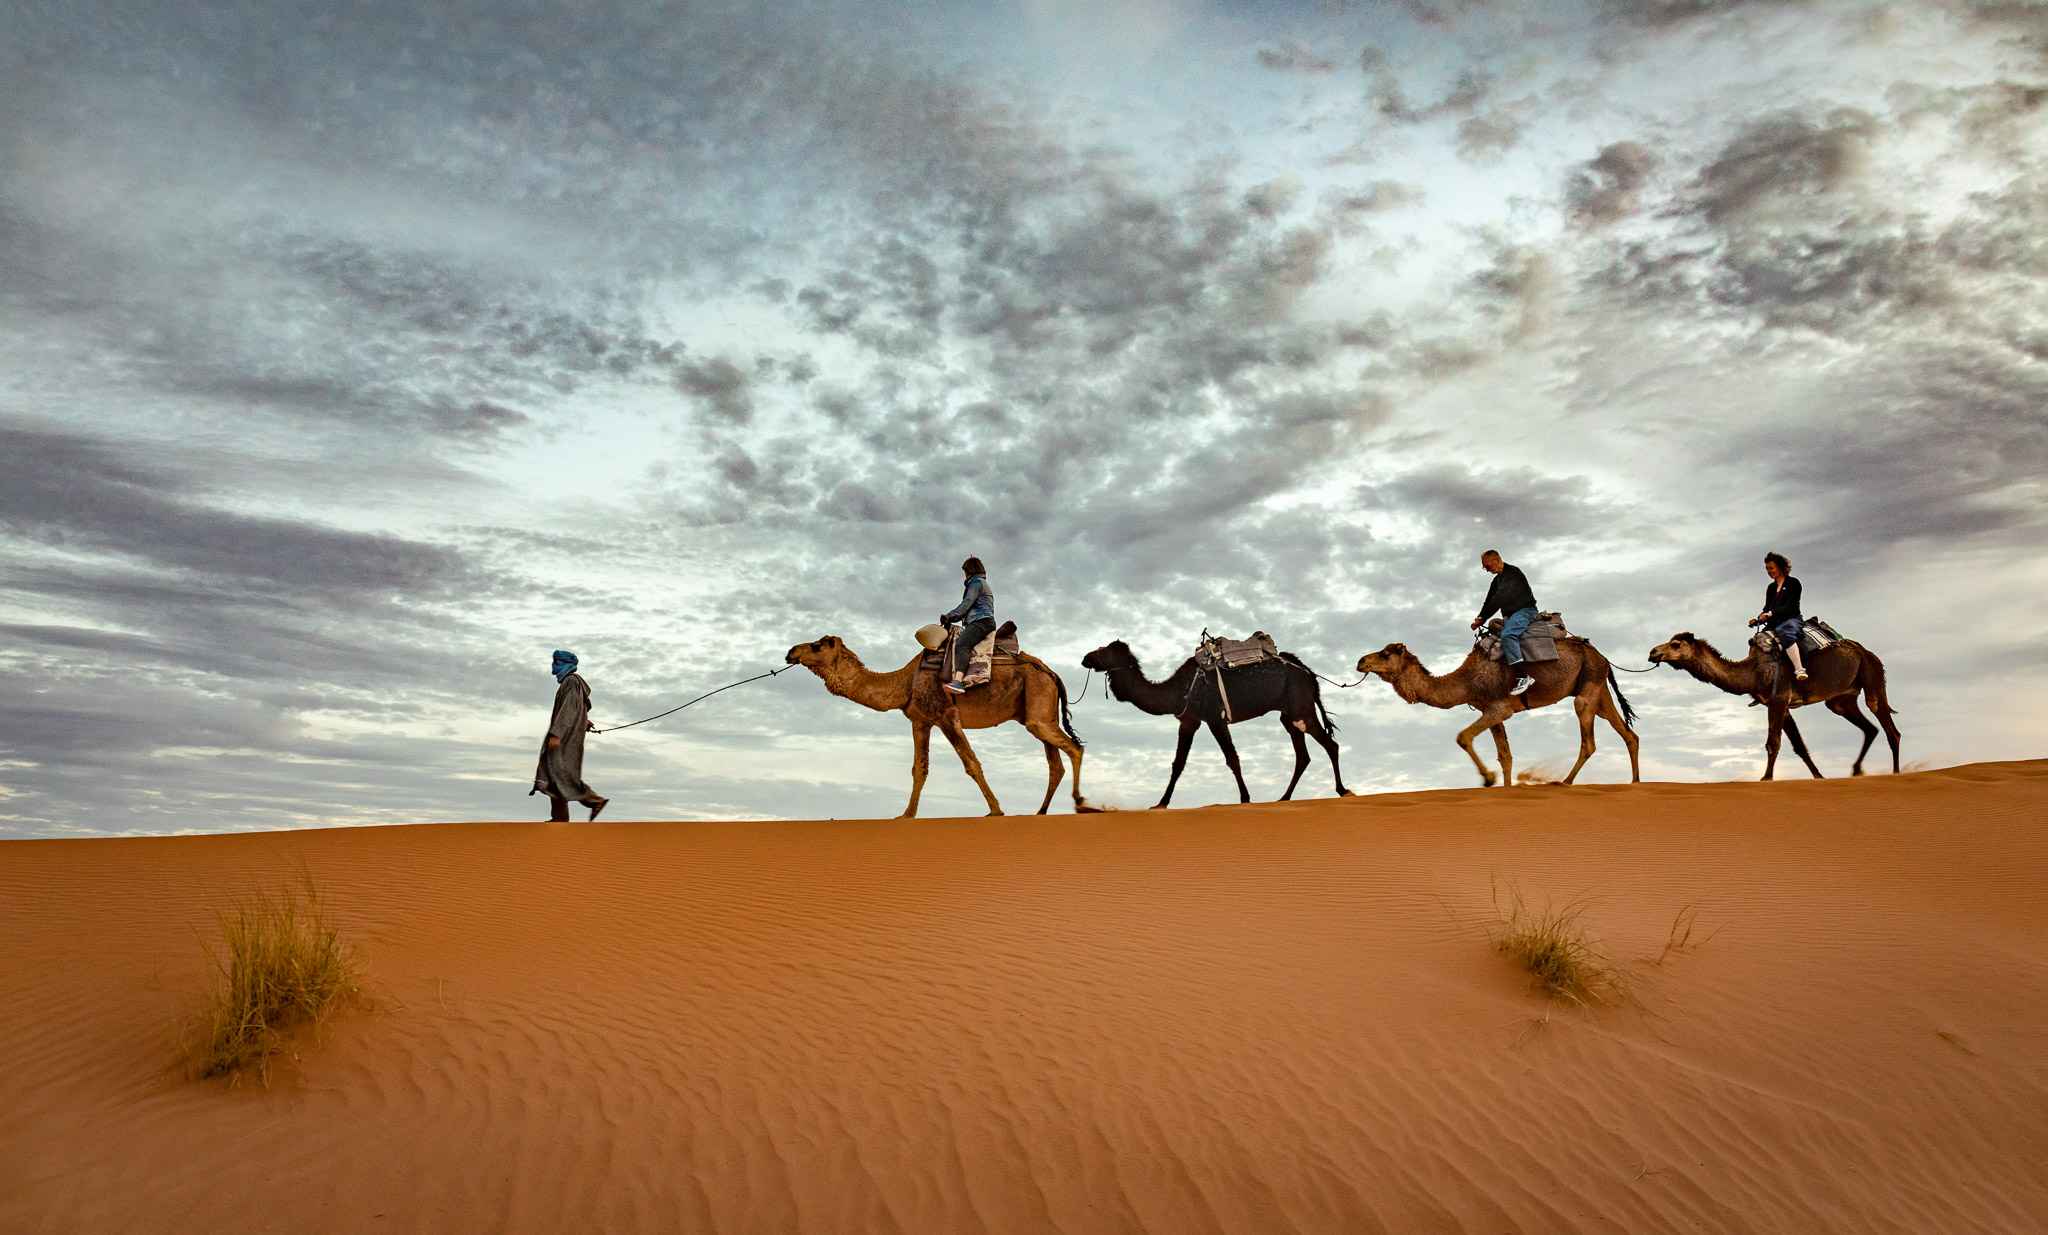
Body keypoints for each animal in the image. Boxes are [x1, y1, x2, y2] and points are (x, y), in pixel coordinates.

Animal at [778, 639, 1089, 823]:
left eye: (817, 645)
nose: (790, 651)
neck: (904, 682)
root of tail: (1051, 673)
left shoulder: (946, 715)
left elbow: (971, 764)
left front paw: (996, 810)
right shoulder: (921, 721)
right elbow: (919, 768)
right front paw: (906, 815)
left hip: (1038, 704)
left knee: (1075, 748)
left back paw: (1080, 804)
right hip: (1035, 712)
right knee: (1055, 763)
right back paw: (1041, 812)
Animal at [1081, 643, 1351, 806]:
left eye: (1104, 650)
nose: (1085, 658)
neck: (1177, 690)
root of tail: (1308, 672)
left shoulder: (1214, 717)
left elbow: (1232, 758)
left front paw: (1245, 798)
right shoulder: (1189, 719)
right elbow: (1178, 763)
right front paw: (1161, 803)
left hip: (1301, 706)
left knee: (1330, 745)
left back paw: (1342, 790)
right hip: (1288, 714)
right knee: (1303, 755)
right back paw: (1284, 798)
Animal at [1359, 643, 1646, 786]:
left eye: (1384, 654)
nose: (1361, 661)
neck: (1466, 682)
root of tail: (1604, 658)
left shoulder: (1500, 707)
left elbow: (1463, 737)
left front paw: (1488, 779)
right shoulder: (1490, 710)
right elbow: (1505, 757)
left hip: (1589, 684)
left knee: (1588, 736)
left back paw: (1564, 782)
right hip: (1598, 687)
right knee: (1628, 734)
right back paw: (1635, 782)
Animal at [1638, 634, 1892, 778]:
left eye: (1675, 644)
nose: (1652, 652)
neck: (1753, 672)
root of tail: (1866, 651)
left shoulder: (1779, 698)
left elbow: (1773, 743)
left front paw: (1765, 779)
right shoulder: (1782, 705)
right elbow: (1799, 746)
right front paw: (1819, 777)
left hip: (1871, 671)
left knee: (1888, 725)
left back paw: (1895, 770)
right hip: (1841, 699)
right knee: (1870, 728)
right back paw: (1857, 770)